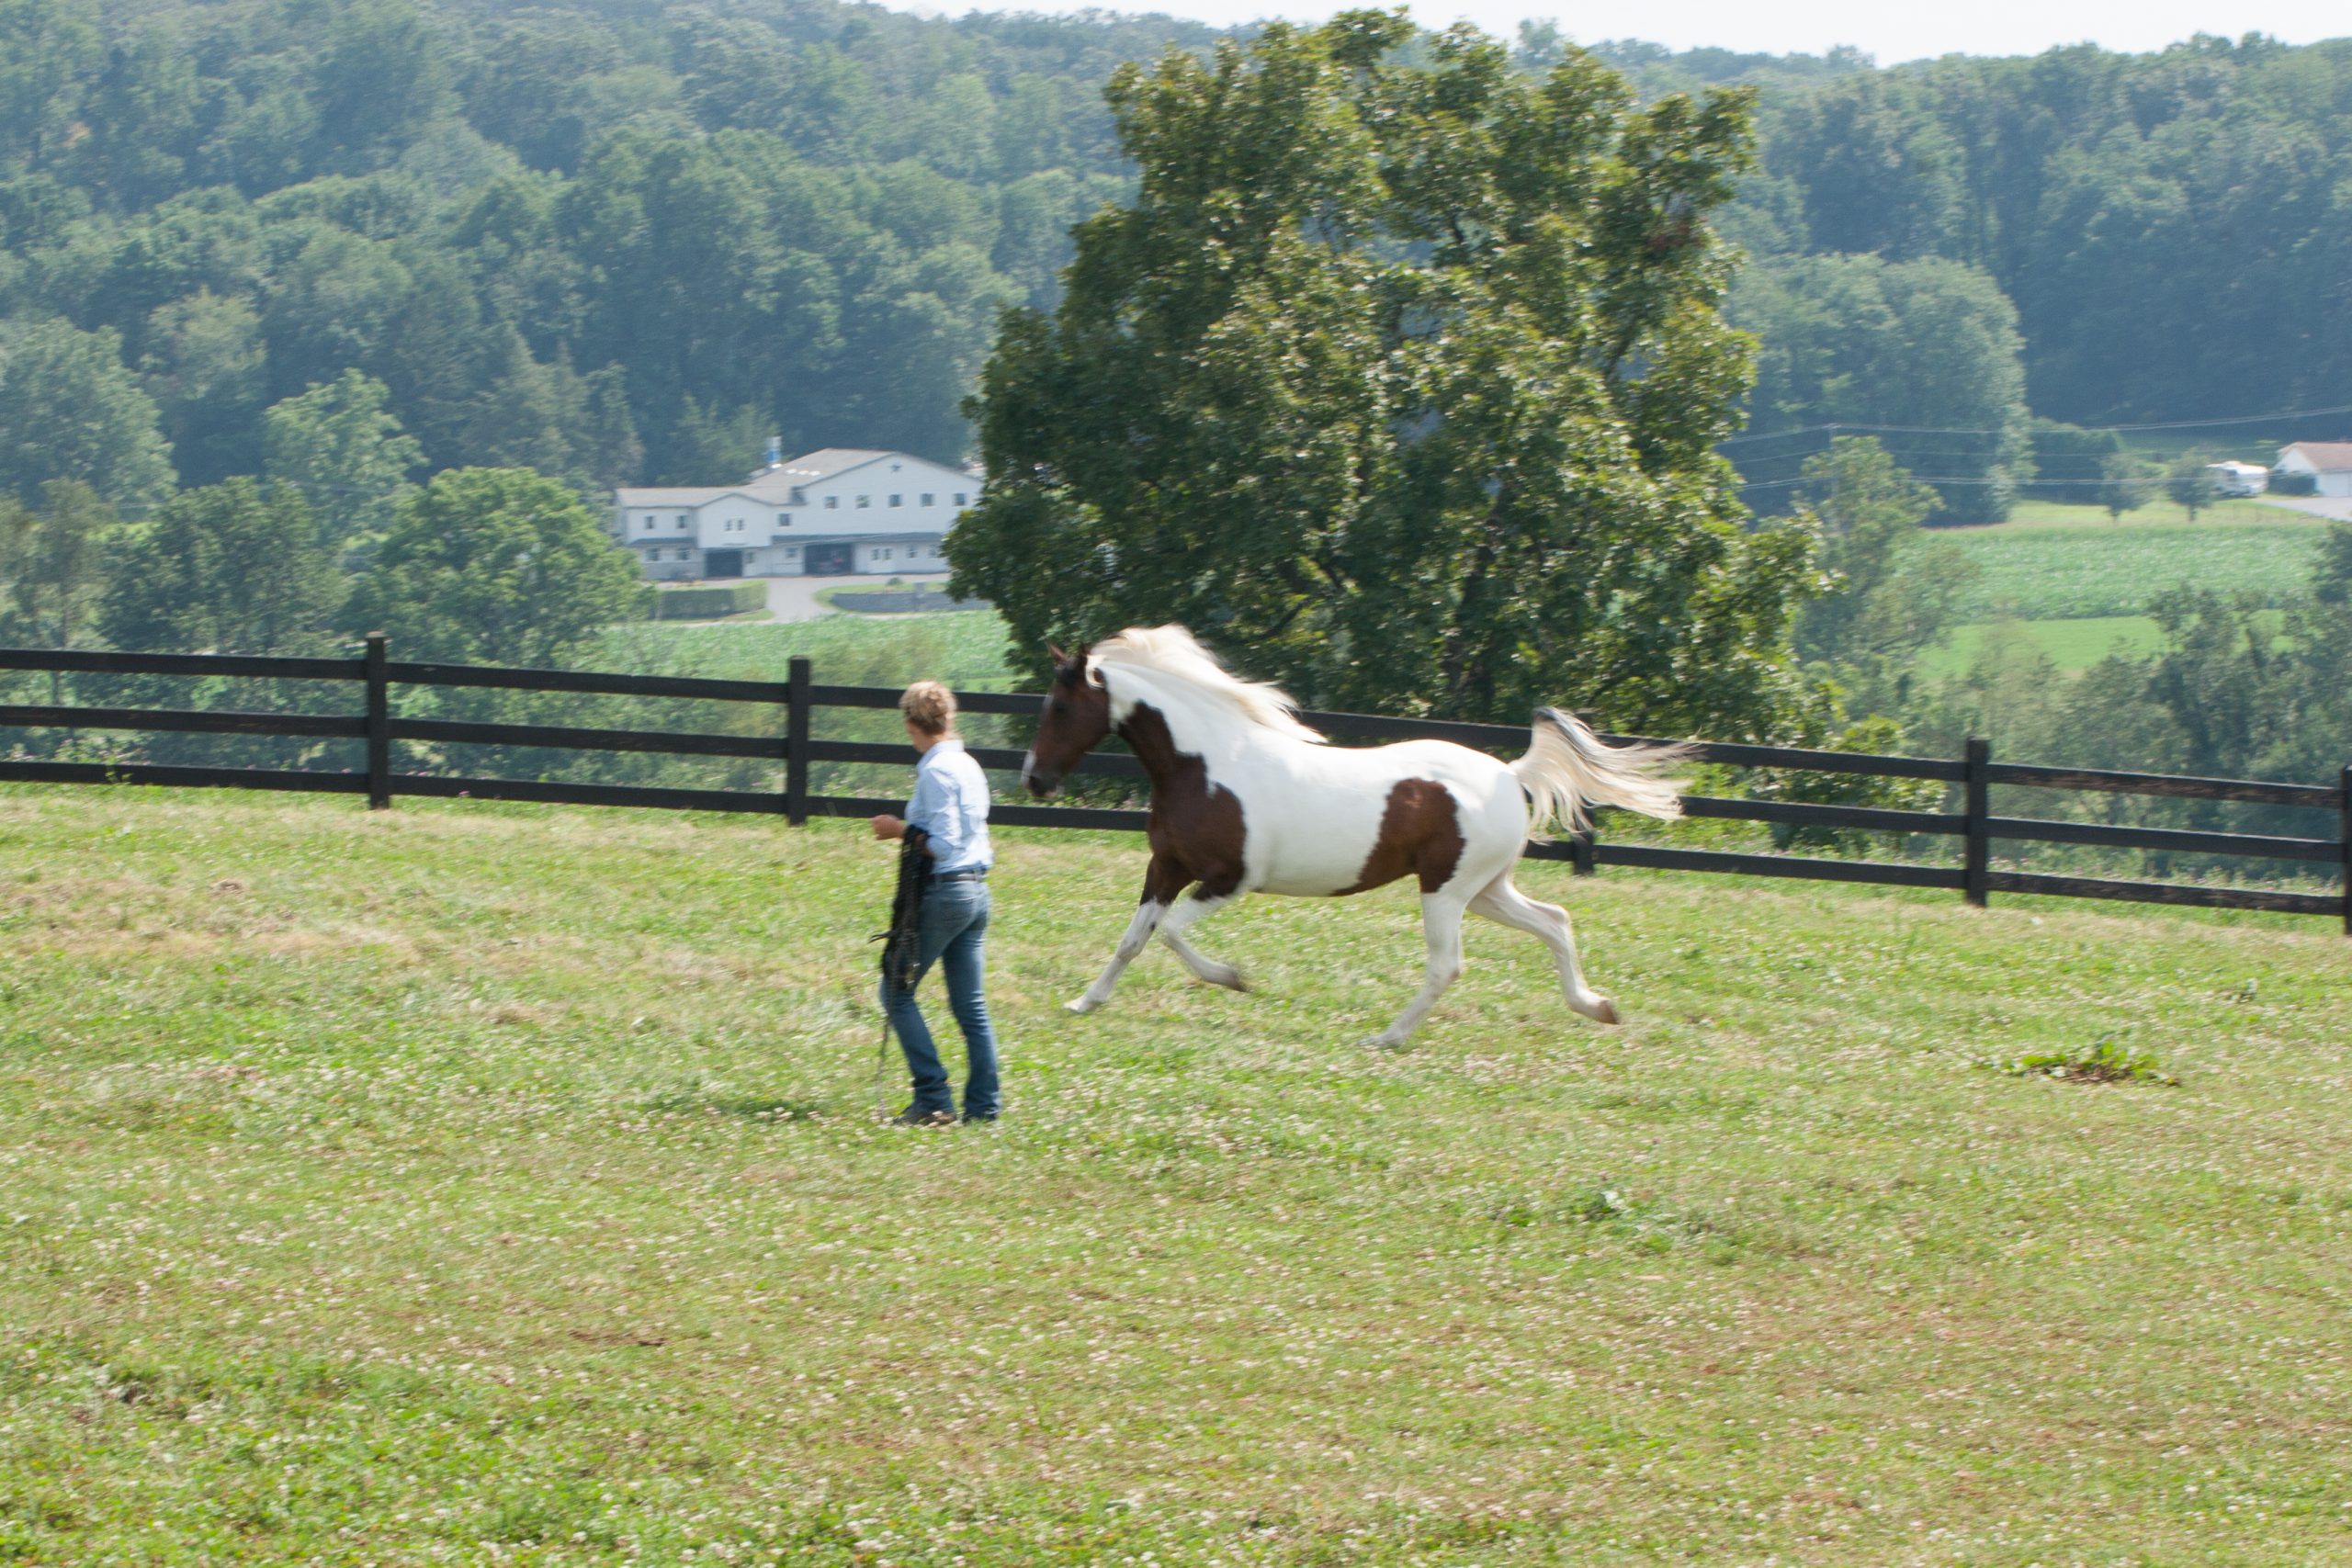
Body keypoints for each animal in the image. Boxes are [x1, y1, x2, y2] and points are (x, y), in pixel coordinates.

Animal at [1015, 620, 1693, 1043]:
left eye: (1060, 706)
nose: (1035, 780)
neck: (1204, 765)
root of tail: (1509, 774)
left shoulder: (1230, 879)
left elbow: (1172, 934)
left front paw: (1233, 978)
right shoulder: (1166, 867)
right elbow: (1134, 939)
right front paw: (1085, 1002)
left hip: (1446, 889)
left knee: (1447, 964)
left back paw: (1387, 1037)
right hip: (1485, 889)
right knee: (1555, 920)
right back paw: (1597, 1006)